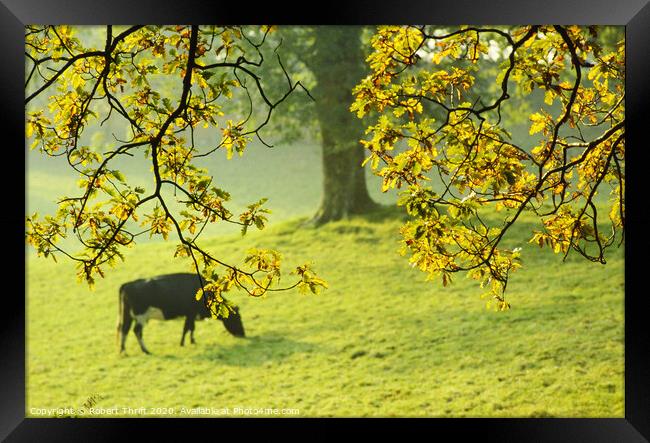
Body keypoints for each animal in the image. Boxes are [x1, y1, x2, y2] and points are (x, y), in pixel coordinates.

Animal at [116, 272, 246, 356]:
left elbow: (191, 328)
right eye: (237, 318)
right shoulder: (191, 313)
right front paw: (183, 343)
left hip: (128, 315)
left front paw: (192, 341)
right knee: (136, 331)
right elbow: (187, 328)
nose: (243, 334)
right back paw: (145, 351)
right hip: (141, 316)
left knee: (124, 330)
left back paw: (123, 350)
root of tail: (129, 284)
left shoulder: (191, 315)